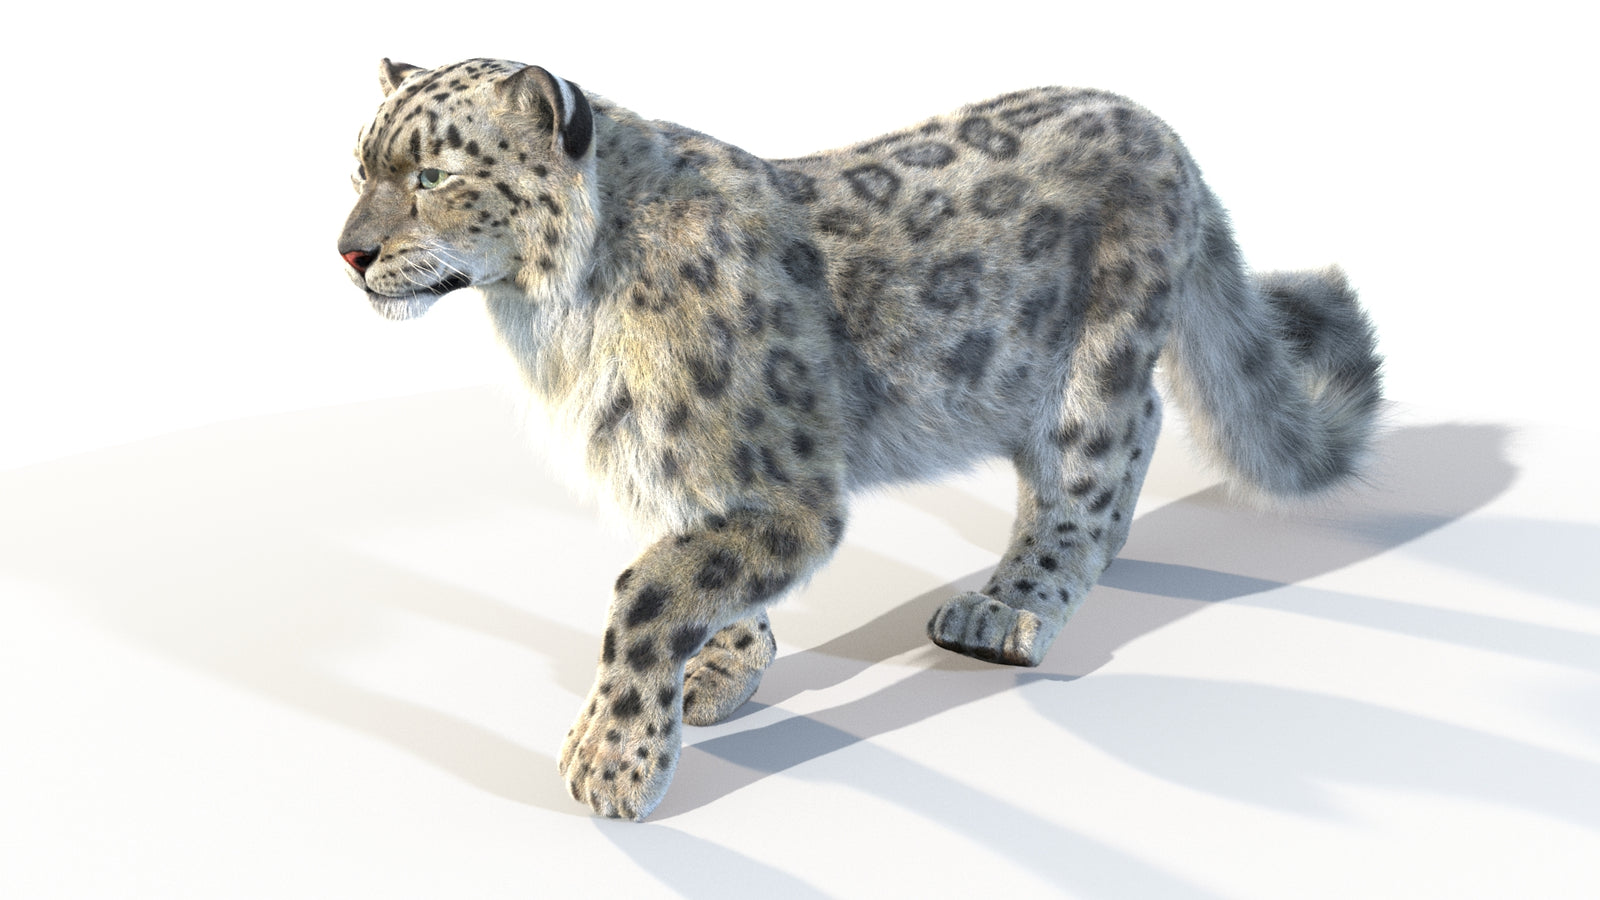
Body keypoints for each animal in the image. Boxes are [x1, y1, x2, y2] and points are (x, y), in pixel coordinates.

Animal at [337, 58, 1383, 820]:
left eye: (433, 176)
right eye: (360, 167)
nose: (349, 251)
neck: (552, 323)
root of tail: (1160, 127)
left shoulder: (790, 488)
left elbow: (648, 588)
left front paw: (611, 762)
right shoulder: (680, 470)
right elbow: (699, 569)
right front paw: (719, 671)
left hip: (1095, 366)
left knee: (1099, 468)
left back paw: (1008, 608)